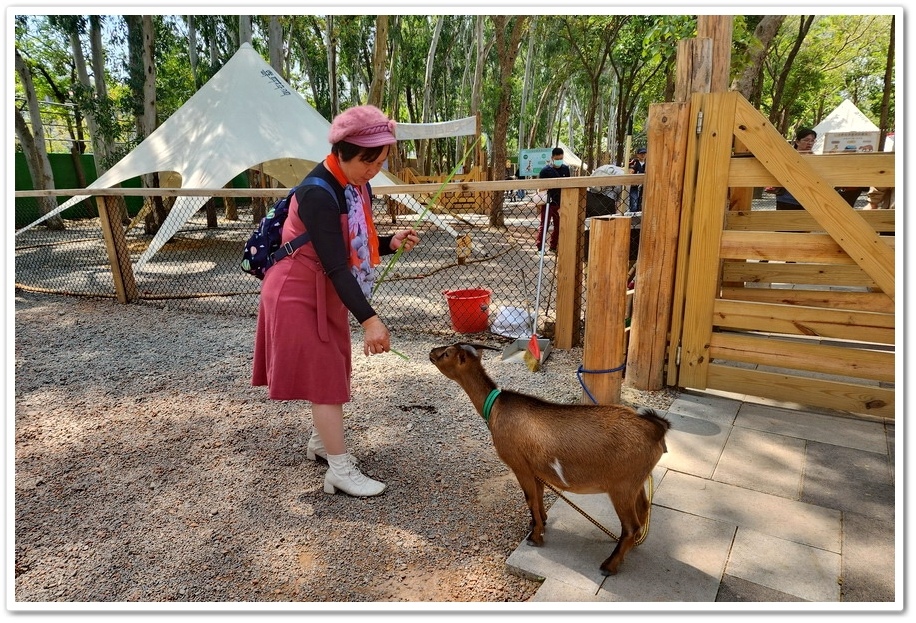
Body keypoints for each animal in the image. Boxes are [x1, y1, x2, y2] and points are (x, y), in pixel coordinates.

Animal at [430, 344, 672, 576]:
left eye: (447, 353)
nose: (431, 352)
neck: (495, 407)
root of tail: (656, 428)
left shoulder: (519, 465)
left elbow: (530, 499)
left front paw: (535, 537)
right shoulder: (535, 468)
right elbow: (538, 497)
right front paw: (539, 523)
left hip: (622, 486)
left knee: (630, 526)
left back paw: (609, 565)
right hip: (636, 482)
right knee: (643, 509)